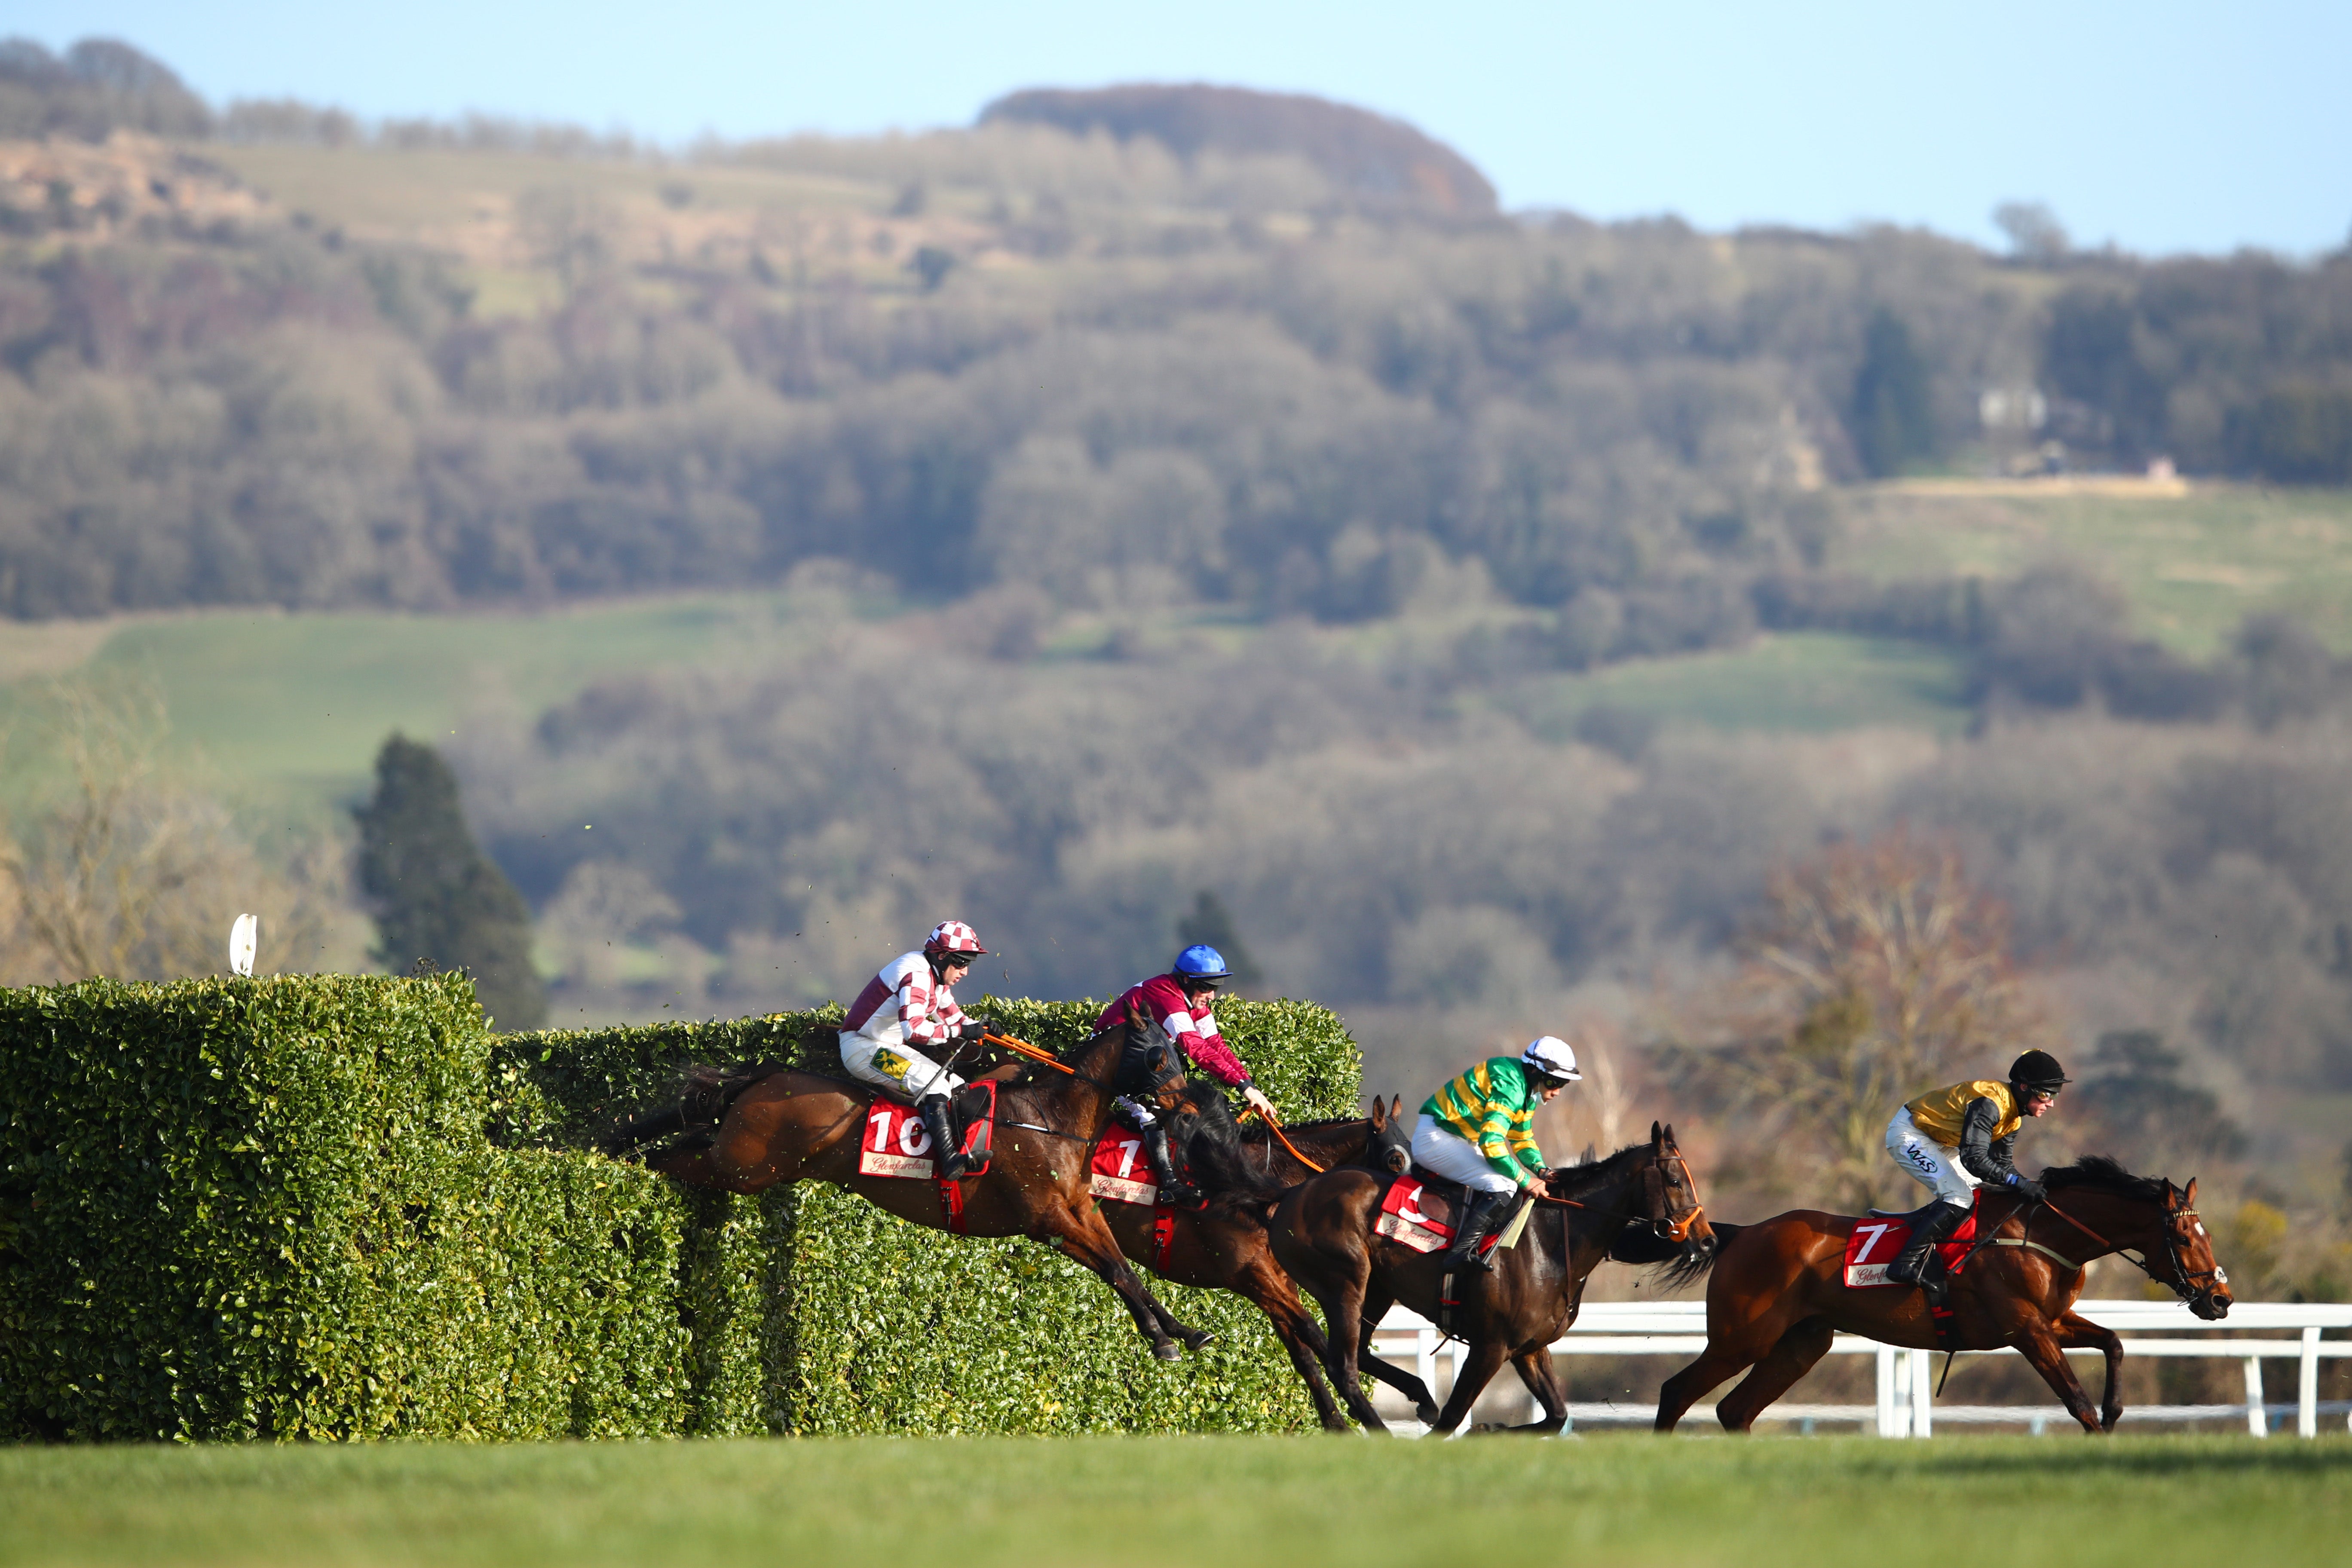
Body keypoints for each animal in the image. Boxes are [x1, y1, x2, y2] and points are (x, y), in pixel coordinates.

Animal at [606, 1020, 1213, 1363]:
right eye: (1160, 1054)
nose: (1187, 1110)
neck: (1047, 1119)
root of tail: (767, 1076)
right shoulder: (1047, 1221)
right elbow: (1116, 1271)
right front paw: (1164, 1340)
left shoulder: (1080, 1211)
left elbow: (1125, 1268)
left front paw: (1182, 1331)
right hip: (743, 1166)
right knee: (667, 1158)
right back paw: (619, 1168)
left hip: (741, 1158)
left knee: (685, 1137)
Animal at [1100, 1090, 1411, 1439]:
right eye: (1395, 1160)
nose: (1407, 1215)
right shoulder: (1251, 1276)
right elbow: (1315, 1334)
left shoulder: (1278, 1279)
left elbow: (1304, 1353)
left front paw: (1339, 1422)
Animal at [1270, 1124, 1712, 1439]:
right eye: (1675, 1181)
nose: (1708, 1239)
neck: (1550, 1240)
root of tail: (1291, 1196)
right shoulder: (1490, 1346)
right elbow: (1454, 1416)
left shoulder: (1529, 1348)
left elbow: (1557, 1415)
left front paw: (1487, 1428)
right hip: (1345, 1283)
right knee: (1342, 1364)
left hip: (1376, 1291)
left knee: (1355, 1353)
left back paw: (1420, 1397)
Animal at [1656, 1152, 2220, 1439]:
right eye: (2184, 1236)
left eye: (2205, 1233)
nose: (2220, 1298)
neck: (2040, 1234)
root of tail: (1742, 1232)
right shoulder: (2027, 1329)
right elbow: (2075, 1399)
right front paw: (2100, 1430)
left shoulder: (2055, 1321)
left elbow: (2114, 1342)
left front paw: (2115, 1410)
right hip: (1742, 1339)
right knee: (1677, 1392)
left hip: (1802, 1343)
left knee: (1734, 1412)